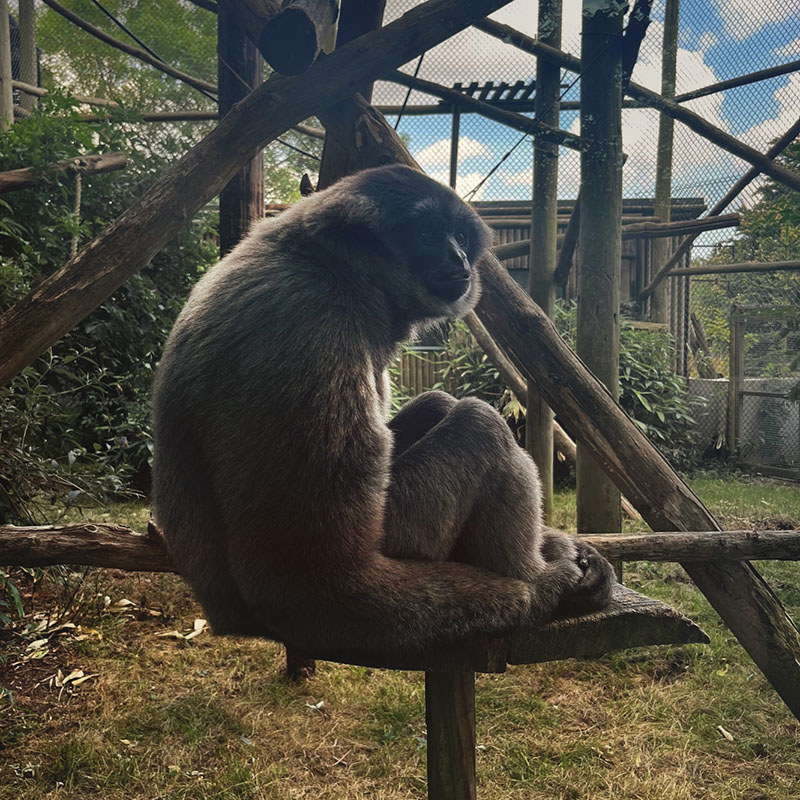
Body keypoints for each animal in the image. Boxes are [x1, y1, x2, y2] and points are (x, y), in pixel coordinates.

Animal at [151, 164, 615, 660]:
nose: (459, 258)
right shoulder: (313, 328)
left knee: (441, 404)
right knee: (480, 421)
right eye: (428, 234)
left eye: (458, 237)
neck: (329, 265)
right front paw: (546, 587)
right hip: (405, 528)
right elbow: (320, 578)